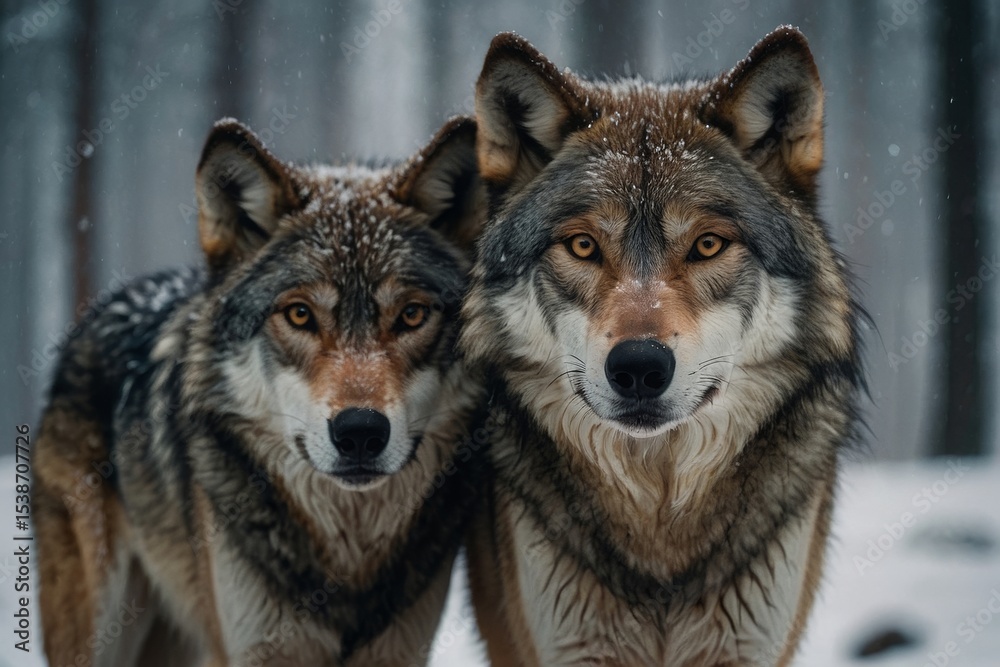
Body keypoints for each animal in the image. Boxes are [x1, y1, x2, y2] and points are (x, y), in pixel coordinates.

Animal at [32, 116, 485, 666]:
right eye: (299, 315)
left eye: (412, 315)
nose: (360, 432)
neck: (348, 556)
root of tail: (102, 307)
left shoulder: (399, 650)